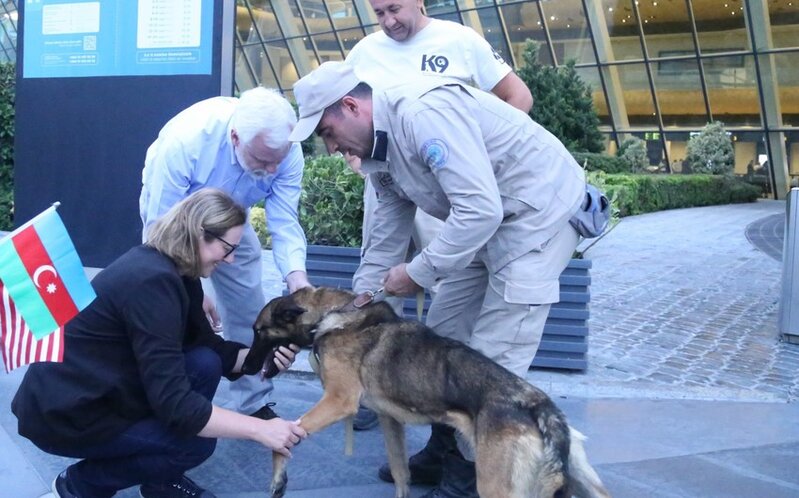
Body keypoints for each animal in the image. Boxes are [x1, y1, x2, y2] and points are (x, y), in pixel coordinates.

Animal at [241, 288, 608, 498]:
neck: (337, 312)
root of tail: (539, 405)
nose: (243, 367)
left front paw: (278, 480)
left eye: (258, 331)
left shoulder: (337, 402)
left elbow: (285, 439)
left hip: (496, 486)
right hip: (585, 484)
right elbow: (401, 474)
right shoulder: (389, 420)